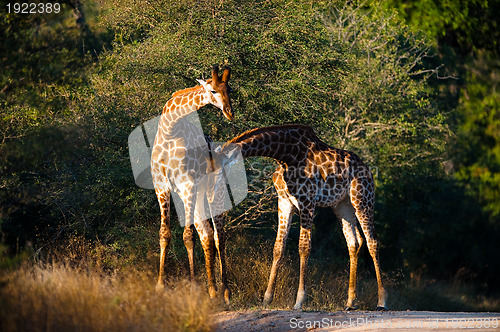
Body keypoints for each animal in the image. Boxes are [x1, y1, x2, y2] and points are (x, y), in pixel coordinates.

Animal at [150, 65, 232, 304]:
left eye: (230, 89)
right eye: (213, 90)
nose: (229, 112)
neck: (170, 129)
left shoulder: (188, 184)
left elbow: (188, 236)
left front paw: (194, 287)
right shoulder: (162, 186)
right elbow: (165, 233)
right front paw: (160, 286)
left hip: (215, 191)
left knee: (219, 235)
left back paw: (225, 292)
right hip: (196, 194)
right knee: (206, 233)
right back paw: (212, 290)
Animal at [221, 124, 388, 312]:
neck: (284, 154)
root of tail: (368, 171)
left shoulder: (307, 201)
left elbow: (303, 246)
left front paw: (299, 300)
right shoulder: (284, 201)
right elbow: (278, 247)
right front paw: (266, 299)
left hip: (362, 199)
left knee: (372, 241)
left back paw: (381, 301)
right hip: (342, 205)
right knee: (354, 241)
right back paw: (350, 302)